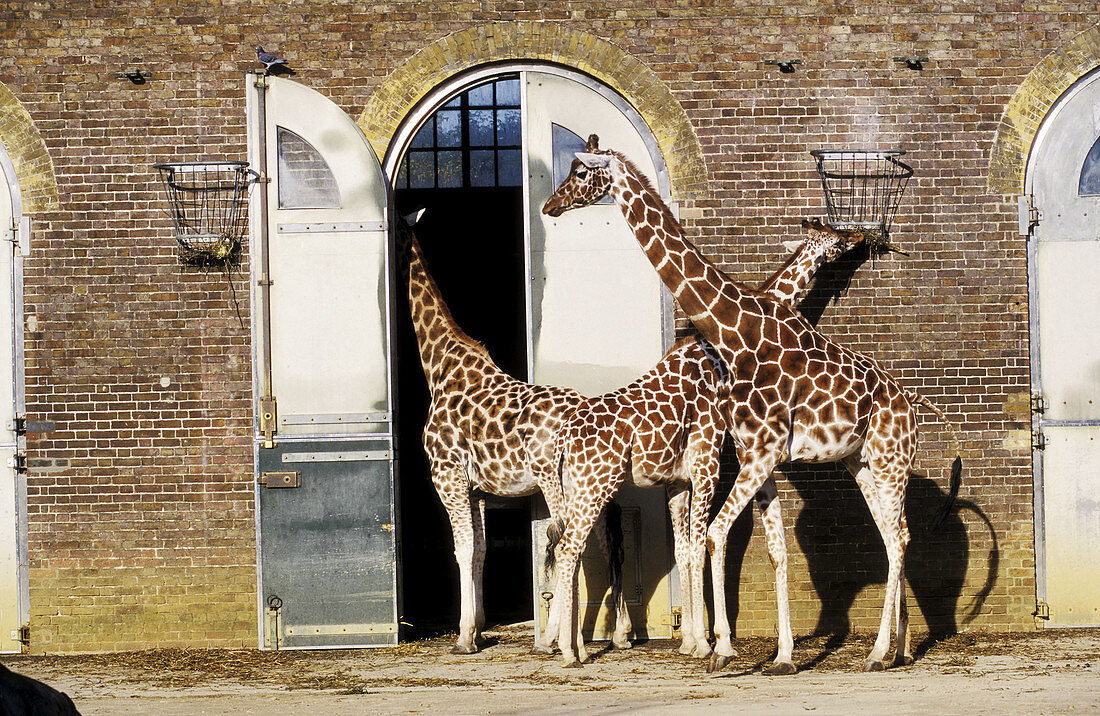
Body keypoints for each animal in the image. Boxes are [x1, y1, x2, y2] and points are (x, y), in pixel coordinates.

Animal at [396, 219, 633, 655]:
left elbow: (462, 548)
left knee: (570, 541)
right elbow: (480, 550)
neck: (439, 366)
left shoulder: (447, 475)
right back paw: (621, 633)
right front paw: (478, 627)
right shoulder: (477, 487)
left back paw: (555, 639)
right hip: (598, 484)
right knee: (609, 542)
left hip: (553, 479)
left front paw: (464, 637)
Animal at [541, 216, 866, 668]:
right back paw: (569, 651)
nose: (861, 237)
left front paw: (690, 641)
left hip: (576, 490)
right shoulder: (707, 460)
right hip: (595, 488)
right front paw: (709, 643)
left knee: (569, 549)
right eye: (833, 240)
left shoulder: (679, 479)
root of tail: (565, 440)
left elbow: (684, 551)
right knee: (570, 549)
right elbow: (700, 545)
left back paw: (569, 643)